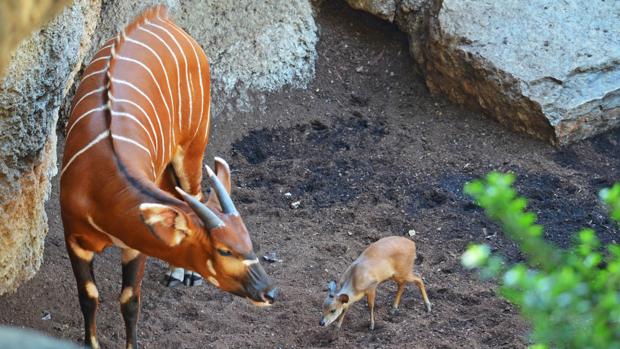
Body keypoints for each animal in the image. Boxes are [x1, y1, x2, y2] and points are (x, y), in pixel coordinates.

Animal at [60, 6, 276, 348]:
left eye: (248, 240)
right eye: (224, 250)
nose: (268, 292)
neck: (99, 183)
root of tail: (163, 17)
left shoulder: (136, 245)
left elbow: (130, 300)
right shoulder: (74, 238)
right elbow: (89, 297)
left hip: (193, 147)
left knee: (195, 192)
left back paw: (183, 275)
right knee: (180, 194)